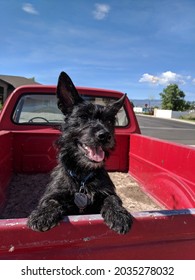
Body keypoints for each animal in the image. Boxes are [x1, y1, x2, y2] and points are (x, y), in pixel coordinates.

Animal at [27, 71, 133, 234]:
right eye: (83, 117)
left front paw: (118, 214)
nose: (105, 135)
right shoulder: (54, 193)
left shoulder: (107, 191)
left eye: (109, 121)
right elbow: (50, 201)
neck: (83, 175)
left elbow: (112, 199)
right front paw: (43, 214)